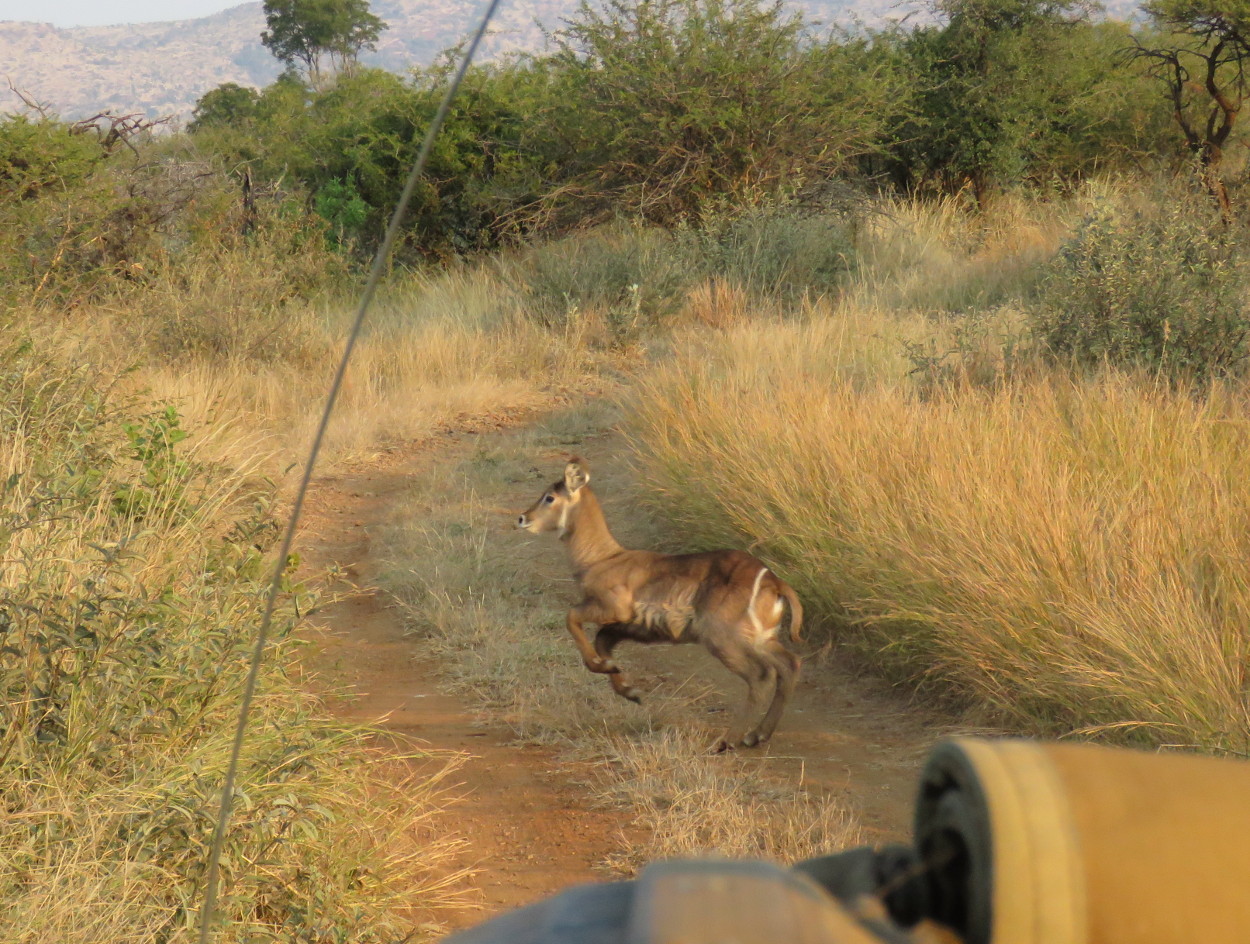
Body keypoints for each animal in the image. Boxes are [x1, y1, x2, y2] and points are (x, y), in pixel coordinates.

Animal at [515, 460, 800, 755]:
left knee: (761, 675)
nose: (522, 518)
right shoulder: (622, 626)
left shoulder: (614, 609)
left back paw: (728, 740)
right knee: (790, 664)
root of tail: (772, 581)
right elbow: (602, 642)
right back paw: (756, 735)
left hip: (724, 639)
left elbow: (572, 619)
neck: (602, 559)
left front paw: (610, 671)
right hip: (762, 639)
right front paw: (628, 689)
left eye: (550, 497)